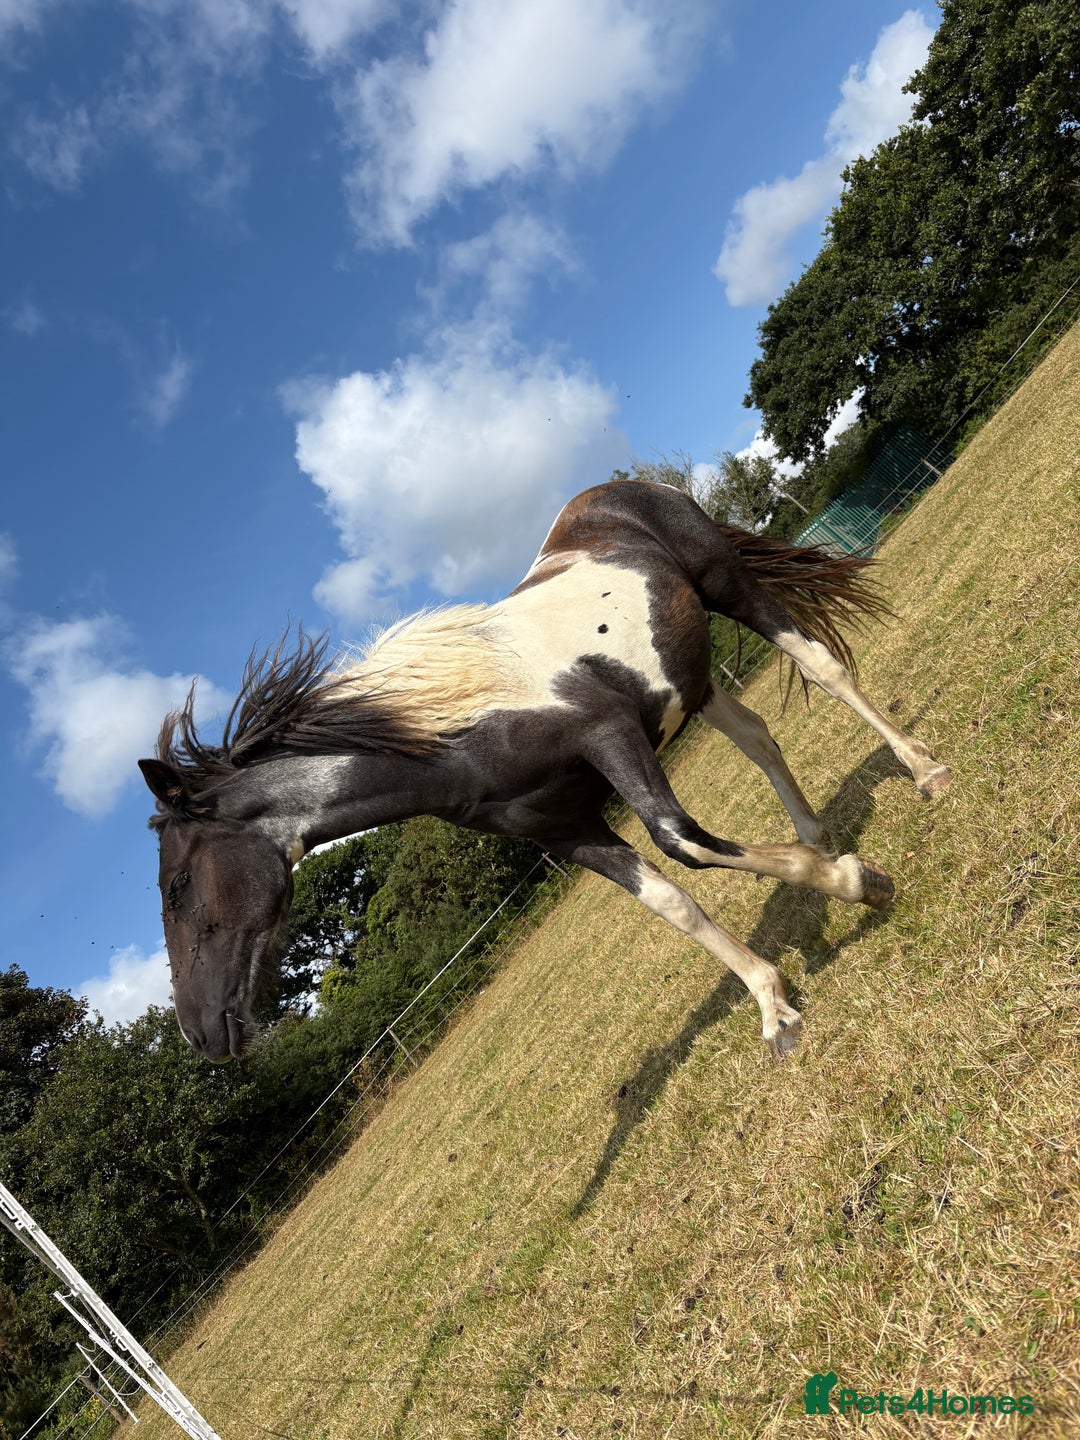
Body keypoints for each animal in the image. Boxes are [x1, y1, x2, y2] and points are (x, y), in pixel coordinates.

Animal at [140, 480, 951, 1064]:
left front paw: (855, 883)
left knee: (824, 669)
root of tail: (623, 488)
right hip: (687, 678)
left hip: (728, 587)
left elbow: (683, 842)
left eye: (176, 887)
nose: (202, 1037)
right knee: (757, 736)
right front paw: (773, 1006)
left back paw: (926, 773)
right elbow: (670, 902)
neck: (458, 736)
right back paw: (816, 835)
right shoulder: (563, 830)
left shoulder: (610, 736)